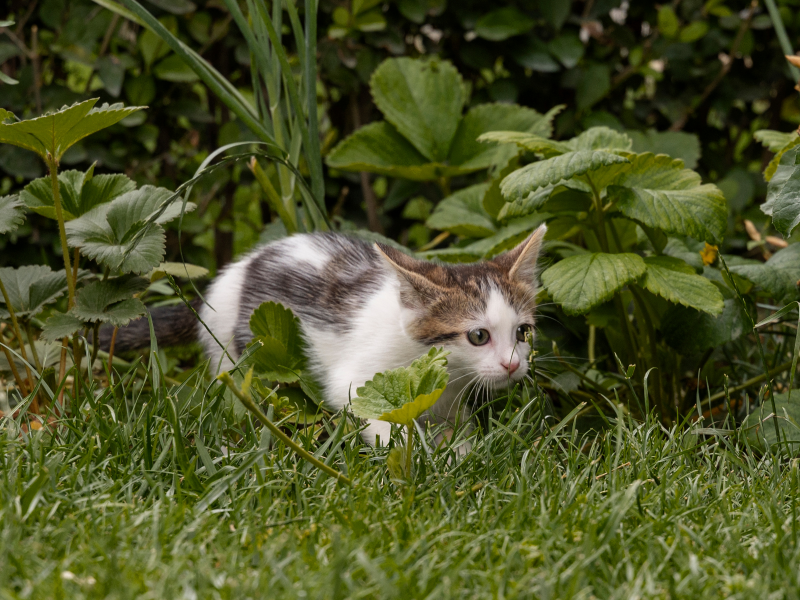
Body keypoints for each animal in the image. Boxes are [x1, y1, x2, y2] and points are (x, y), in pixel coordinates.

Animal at [103, 225, 548, 446]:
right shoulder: (359, 381)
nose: (512, 364)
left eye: (523, 332)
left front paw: (461, 452)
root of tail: (232, 273)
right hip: (235, 353)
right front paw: (420, 461)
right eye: (478, 336)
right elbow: (378, 419)